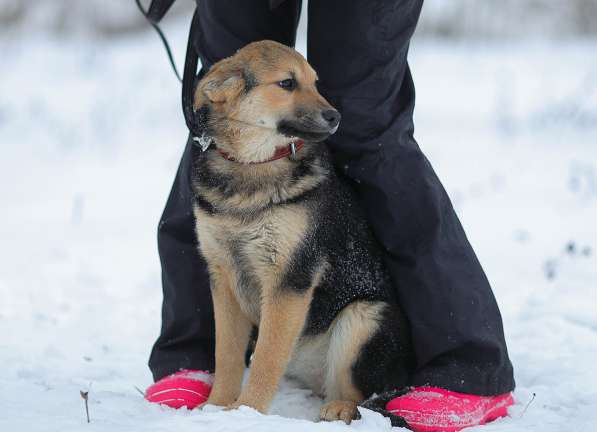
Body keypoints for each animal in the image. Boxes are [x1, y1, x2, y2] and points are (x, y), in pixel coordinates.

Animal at [189, 38, 412, 424]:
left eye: (315, 83)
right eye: (287, 83)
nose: (335, 117)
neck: (253, 166)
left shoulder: (289, 279)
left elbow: (265, 359)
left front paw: (247, 411)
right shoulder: (223, 278)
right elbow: (227, 355)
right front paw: (217, 407)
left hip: (363, 317)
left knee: (363, 393)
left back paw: (341, 407)